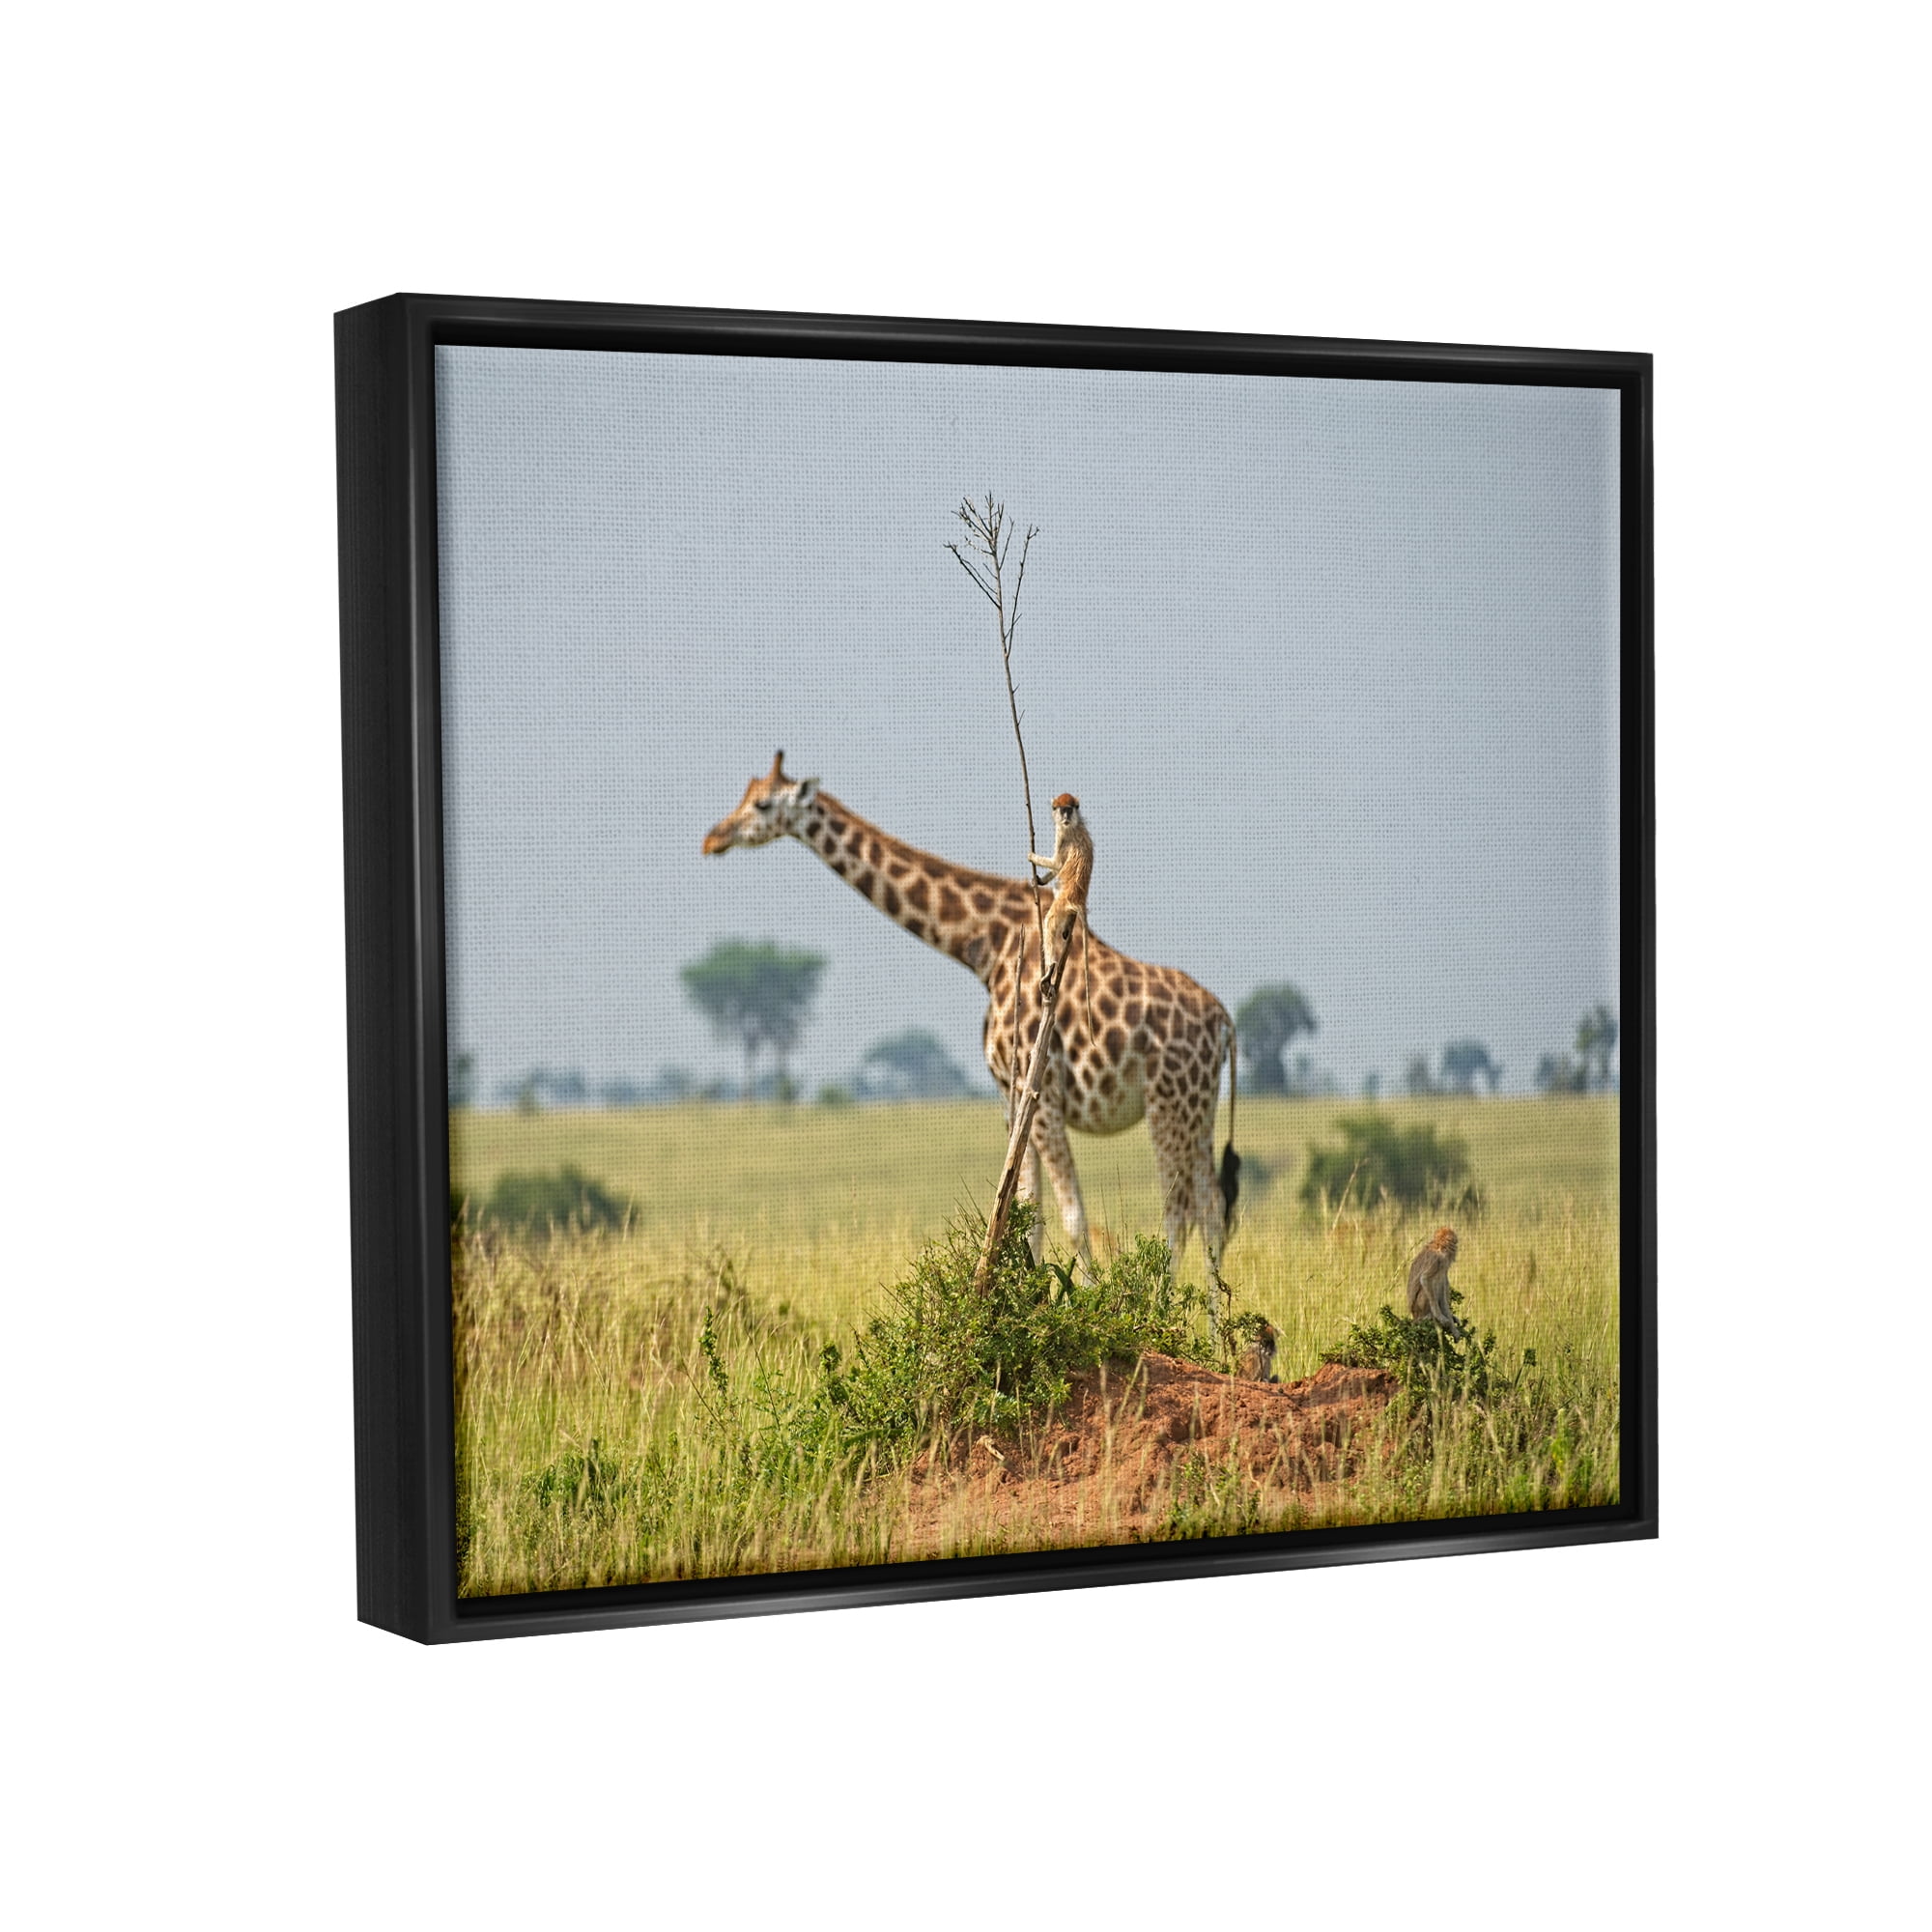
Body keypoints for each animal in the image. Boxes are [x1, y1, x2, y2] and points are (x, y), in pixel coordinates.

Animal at [701, 753, 1241, 1315]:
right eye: (746, 795)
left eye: (762, 804)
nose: (712, 839)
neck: (982, 945)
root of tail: (1225, 1021)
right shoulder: (1011, 1096)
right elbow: (1026, 1215)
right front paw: (1032, 1300)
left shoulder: (1038, 1091)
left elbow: (1071, 1217)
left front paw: (1086, 1307)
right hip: (1198, 1108)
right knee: (1212, 1211)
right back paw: (1216, 1326)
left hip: (1166, 1104)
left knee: (1178, 1211)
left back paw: (1164, 1314)